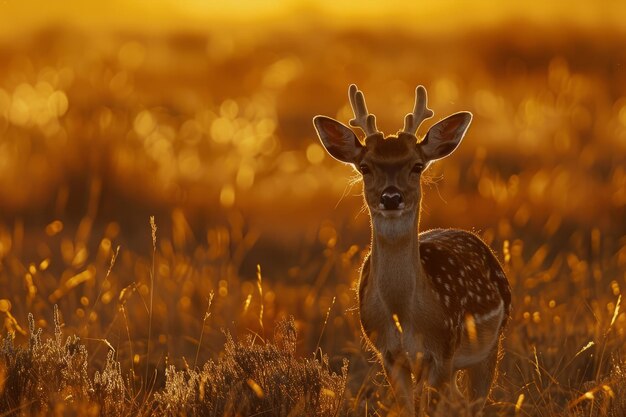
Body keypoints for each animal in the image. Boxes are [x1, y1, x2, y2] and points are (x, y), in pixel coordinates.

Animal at [314, 85, 510, 416]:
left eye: (417, 165)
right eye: (365, 167)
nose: (391, 197)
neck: (405, 315)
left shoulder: (442, 351)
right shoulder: (389, 355)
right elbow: (408, 409)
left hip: (490, 344)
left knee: (474, 403)